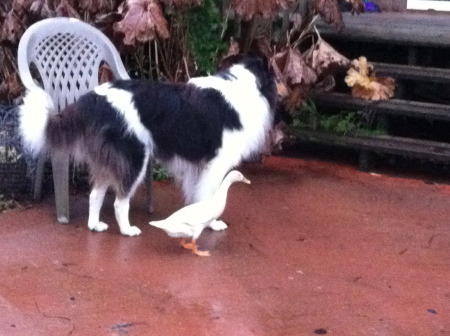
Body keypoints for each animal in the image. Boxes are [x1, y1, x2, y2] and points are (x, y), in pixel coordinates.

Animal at [21, 53, 280, 235]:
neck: (249, 86)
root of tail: (93, 98)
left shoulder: (200, 166)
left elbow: (199, 194)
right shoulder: (215, 163)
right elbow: (211, 196)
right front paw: (213, 224)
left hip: (110, 159)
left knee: (95, 194)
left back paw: (95, 226)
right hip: (134, 155)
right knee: (119, 201)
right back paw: (127, 230)